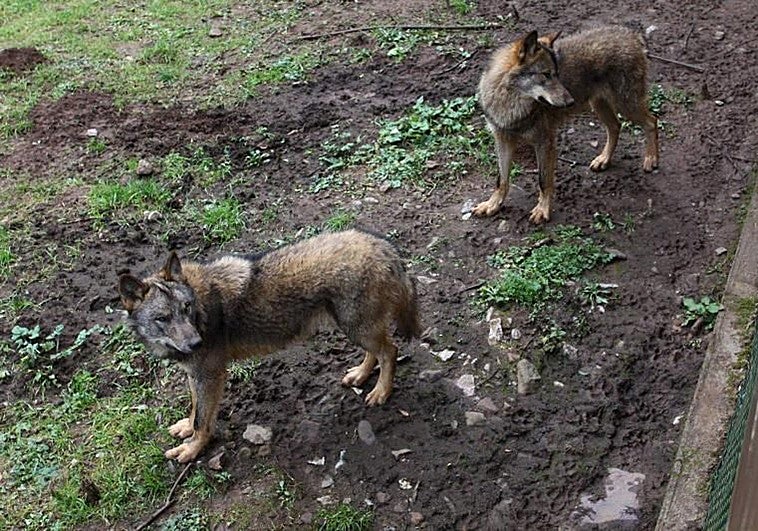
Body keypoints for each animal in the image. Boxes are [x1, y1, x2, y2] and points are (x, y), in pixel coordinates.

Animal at [118, 229, 420, 463]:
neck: (201, 306)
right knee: (377, 352)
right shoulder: (196, 375)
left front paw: (192, 450)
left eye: (186, 308)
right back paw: (360, 375)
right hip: (355, 328)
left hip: (357, 328)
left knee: (390, 351)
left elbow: (203, 421)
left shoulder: (211, 375)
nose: (196, 343)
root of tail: (382, 246)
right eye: (163, 318)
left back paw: (381, 392)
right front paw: (185, 428)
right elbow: (195, 409)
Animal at [473, 26, 659, 223]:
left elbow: (543, 181)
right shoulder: (502, 139)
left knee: (652, 121)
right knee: (616, 126)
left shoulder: (545, 142)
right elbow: (501, 180)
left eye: (557, 74)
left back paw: (651, 159)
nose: (570, 101)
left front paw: (542, 210)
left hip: (626, 106)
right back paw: (604, 160)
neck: (509, 106)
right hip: (599, 105)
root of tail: (631, 34)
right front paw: (492, 205)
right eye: (546, 74)